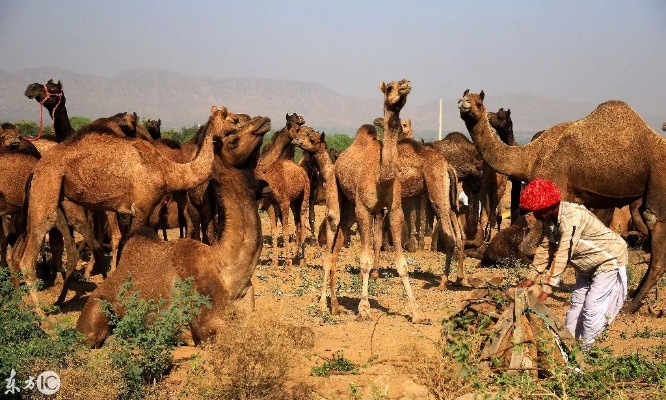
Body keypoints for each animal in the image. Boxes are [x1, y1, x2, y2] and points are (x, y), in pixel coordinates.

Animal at [14, 105, 222, 306]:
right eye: (229, 118)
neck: (165, 169)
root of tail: (36, 168)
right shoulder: (142, 207)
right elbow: (130, 242)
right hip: (47, 185)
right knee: (30, 253)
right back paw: (42, 314)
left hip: (62, 199)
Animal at [456, 90, 664, 312]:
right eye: (464, 97)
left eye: (479, 102)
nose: (463, 103)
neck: (530, 157)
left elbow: (531, 247)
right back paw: (632, 295)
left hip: (658, 178)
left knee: (655, 231)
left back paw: (632, 305)